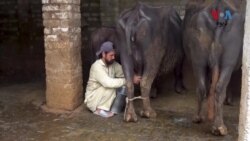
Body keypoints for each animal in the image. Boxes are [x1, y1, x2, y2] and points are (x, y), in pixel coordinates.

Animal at [183, 0, 245, 135]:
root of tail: (219, 7)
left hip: (198, 59)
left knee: (202, 87)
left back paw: (198, 118)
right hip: (228, 60)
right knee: (219, 88)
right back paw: (219, 127)